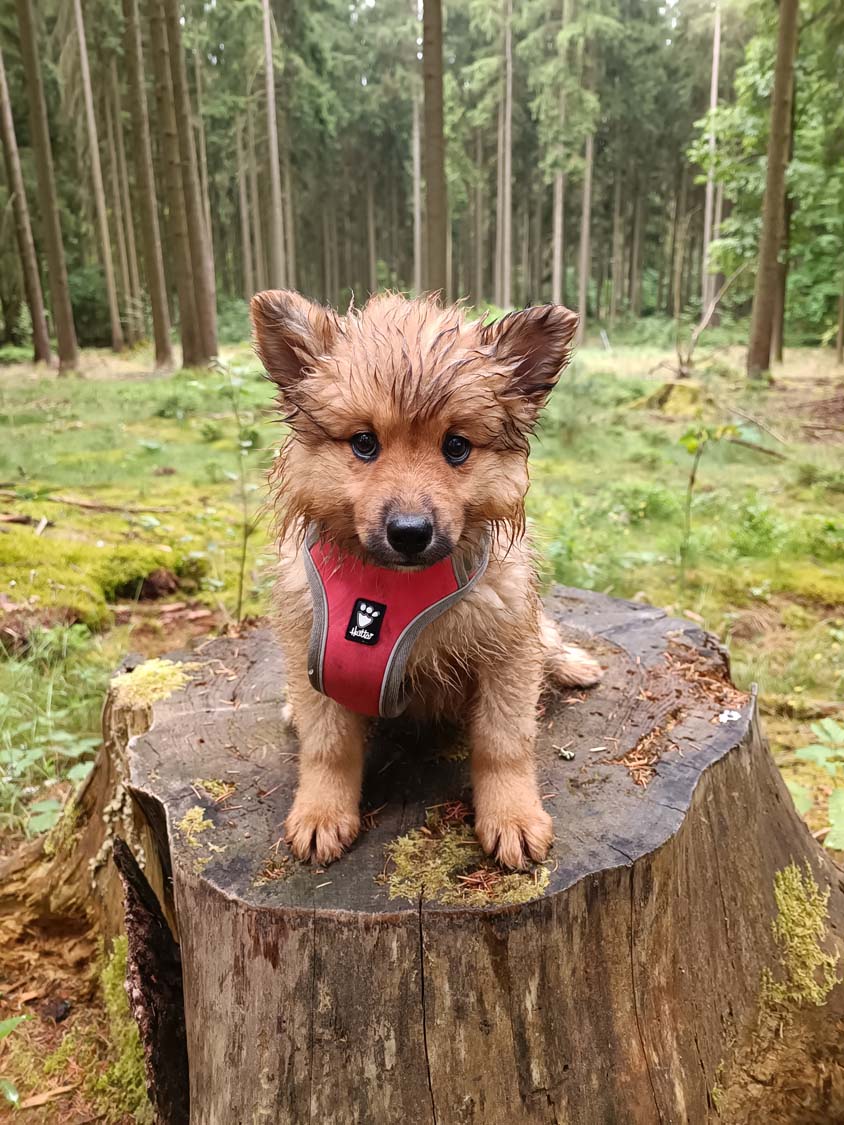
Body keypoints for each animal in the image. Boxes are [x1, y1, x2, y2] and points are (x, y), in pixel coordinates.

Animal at [251, 290, 602, 870]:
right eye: (364, 443)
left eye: (456, 447)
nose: (410, 533)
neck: (392, 590)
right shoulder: (312, 649)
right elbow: (328, 746)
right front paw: (322, 812)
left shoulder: (507, 649)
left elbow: (504, 743)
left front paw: (512, 816)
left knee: (548, 641)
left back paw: (573, 664)